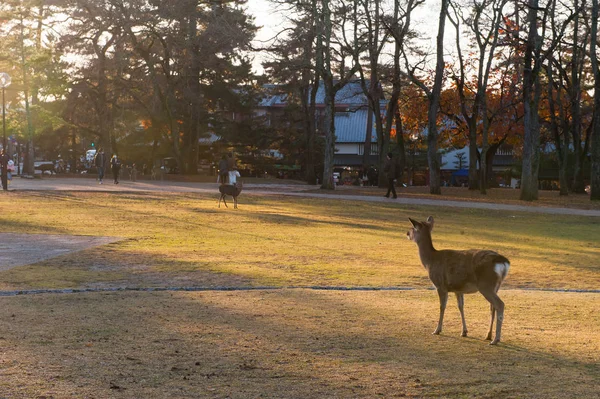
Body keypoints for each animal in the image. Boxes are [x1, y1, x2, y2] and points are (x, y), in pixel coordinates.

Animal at [406, 217, 508, 346]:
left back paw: (496, 339)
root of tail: (503, 262)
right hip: (496, 285)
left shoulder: (440, 285)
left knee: (500, 304)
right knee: (493, 307)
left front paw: (437, 330)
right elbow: (461, 306)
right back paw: (488, 336)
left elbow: (442, 306)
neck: (430, 261)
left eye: (413, 227)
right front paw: (464, 332)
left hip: (486, 284)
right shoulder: (457, 289)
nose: (407, 233)